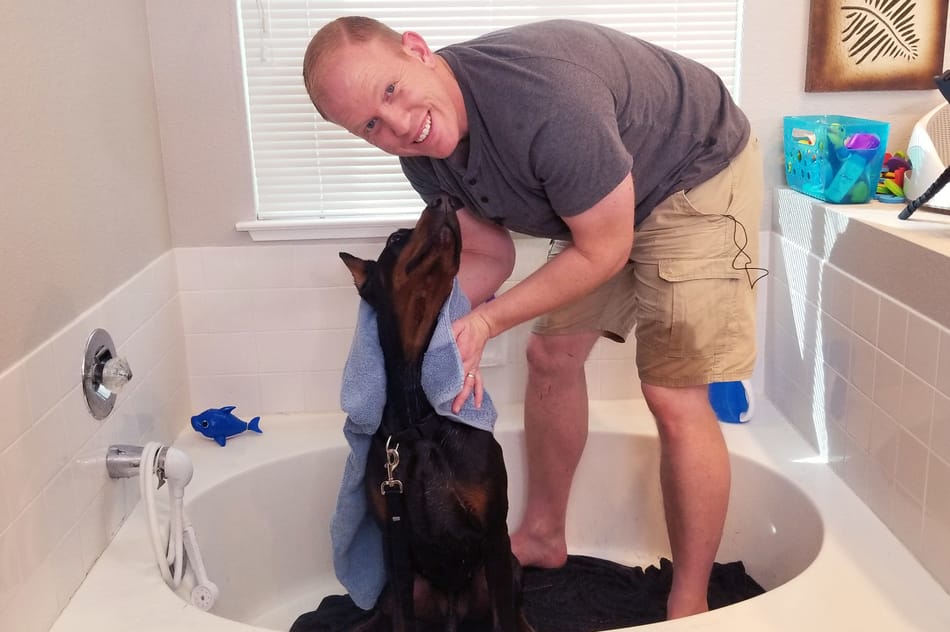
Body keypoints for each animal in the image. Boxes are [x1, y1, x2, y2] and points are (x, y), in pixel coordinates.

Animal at [340, 194, 536, 632]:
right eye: (395, 239)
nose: (446, 201)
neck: (420, 421)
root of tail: (452, 612)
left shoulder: (494, 533)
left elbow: (505, 615)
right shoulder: (393, 546)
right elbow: (401, 618)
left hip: (507, 567)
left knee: (515, 608)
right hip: (403, 589)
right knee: (382, 613)